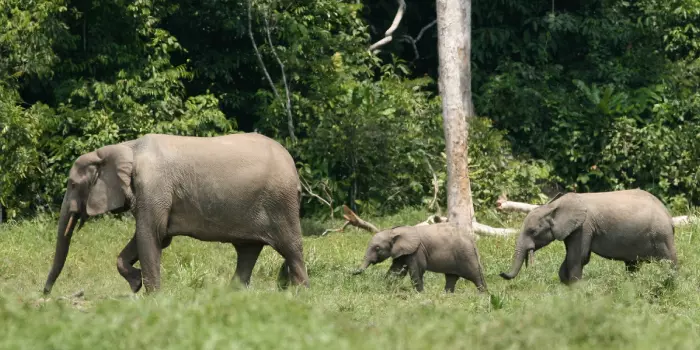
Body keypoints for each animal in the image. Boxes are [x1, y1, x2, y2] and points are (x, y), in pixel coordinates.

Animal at [42, 133, 308, 294]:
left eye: (73, 184)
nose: (45, 294)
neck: (125, 148)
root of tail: (292, 165)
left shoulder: (153, 187)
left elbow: (151, 235)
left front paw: (151, 297)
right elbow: (154, 237)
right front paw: (136, 284)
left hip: (280, 203)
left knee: (291, 248)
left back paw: (299, 295)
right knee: (247, 251)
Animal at [350, 223, 486, 294]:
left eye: (377, 248)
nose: (350, 273)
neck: (394, 231)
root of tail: (472, 240)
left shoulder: (417, 251)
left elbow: (417, 271)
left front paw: (420, 295)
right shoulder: (403, 252)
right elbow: (395, 270)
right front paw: (386, 288)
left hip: (466, 254)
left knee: (475, 275)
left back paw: (484, 295)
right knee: (451, 277)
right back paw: (447, 296)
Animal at [500, 189, 676, 284]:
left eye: (533, 231)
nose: (500, 274)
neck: (553, 206)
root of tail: (668, 214)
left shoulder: (584, 227)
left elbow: (578, 258)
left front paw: (576, 290)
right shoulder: (572, 230)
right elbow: (571, 258)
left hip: (661, 235)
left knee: (670, 263)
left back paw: (668, 285)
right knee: (632, 265)